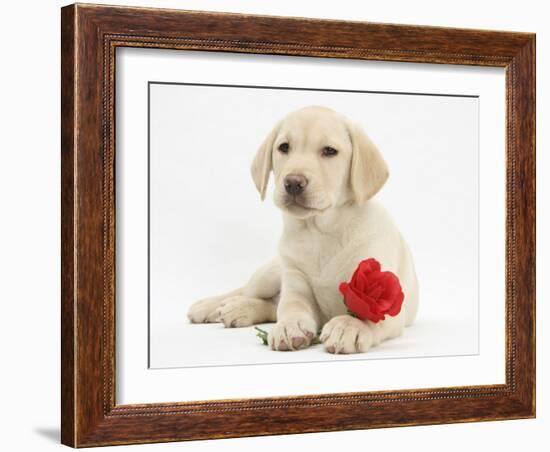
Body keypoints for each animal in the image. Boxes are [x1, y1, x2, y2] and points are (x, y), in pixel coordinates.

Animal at [188, 106, 420, 354]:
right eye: (284, 147)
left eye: (329, 151)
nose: (293, 183)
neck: (319, 231)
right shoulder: (295, 282)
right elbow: (291, 307)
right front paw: (290, 326)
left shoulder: (388, 299)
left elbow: (366, 317)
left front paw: (347, 327)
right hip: (271, 272)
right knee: (251, 292)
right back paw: (211, 306)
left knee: (270, 304)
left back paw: (237, 309)